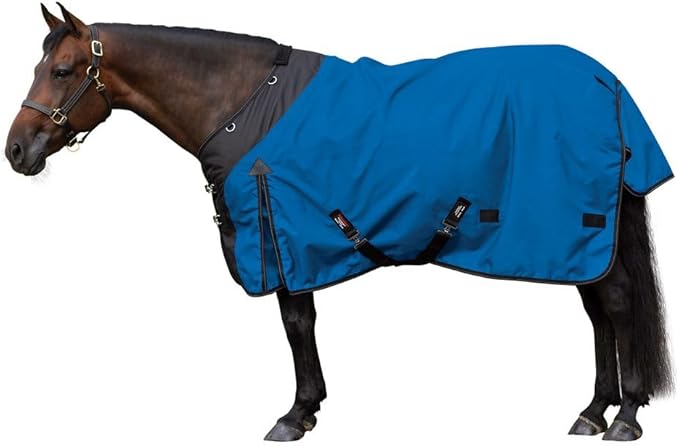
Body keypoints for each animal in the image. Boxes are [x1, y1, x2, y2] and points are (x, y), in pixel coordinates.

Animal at [4, 4, 674, 442]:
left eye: (62, 71)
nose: (16, 151)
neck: (244, 103)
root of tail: (606, 81)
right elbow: (301, 326)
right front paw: (309, 408)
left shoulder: (284, 235)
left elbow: (297, 325)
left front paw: (296, 414)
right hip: (582, 241)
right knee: (597, 312)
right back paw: (593, 410)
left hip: (582, 228)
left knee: (616, 304)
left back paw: (624, 417)